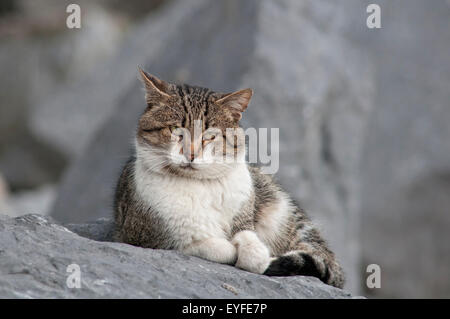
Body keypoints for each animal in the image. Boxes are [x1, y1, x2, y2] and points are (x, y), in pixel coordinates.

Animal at [113, 68, 344, 290]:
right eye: (174, 130)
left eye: (210, 135)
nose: (191, 153)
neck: (200, 185)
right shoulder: (142, 235)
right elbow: (207, 245)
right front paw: (228, 249)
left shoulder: (245, 212)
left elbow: (248, 236)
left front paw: (256, 253)